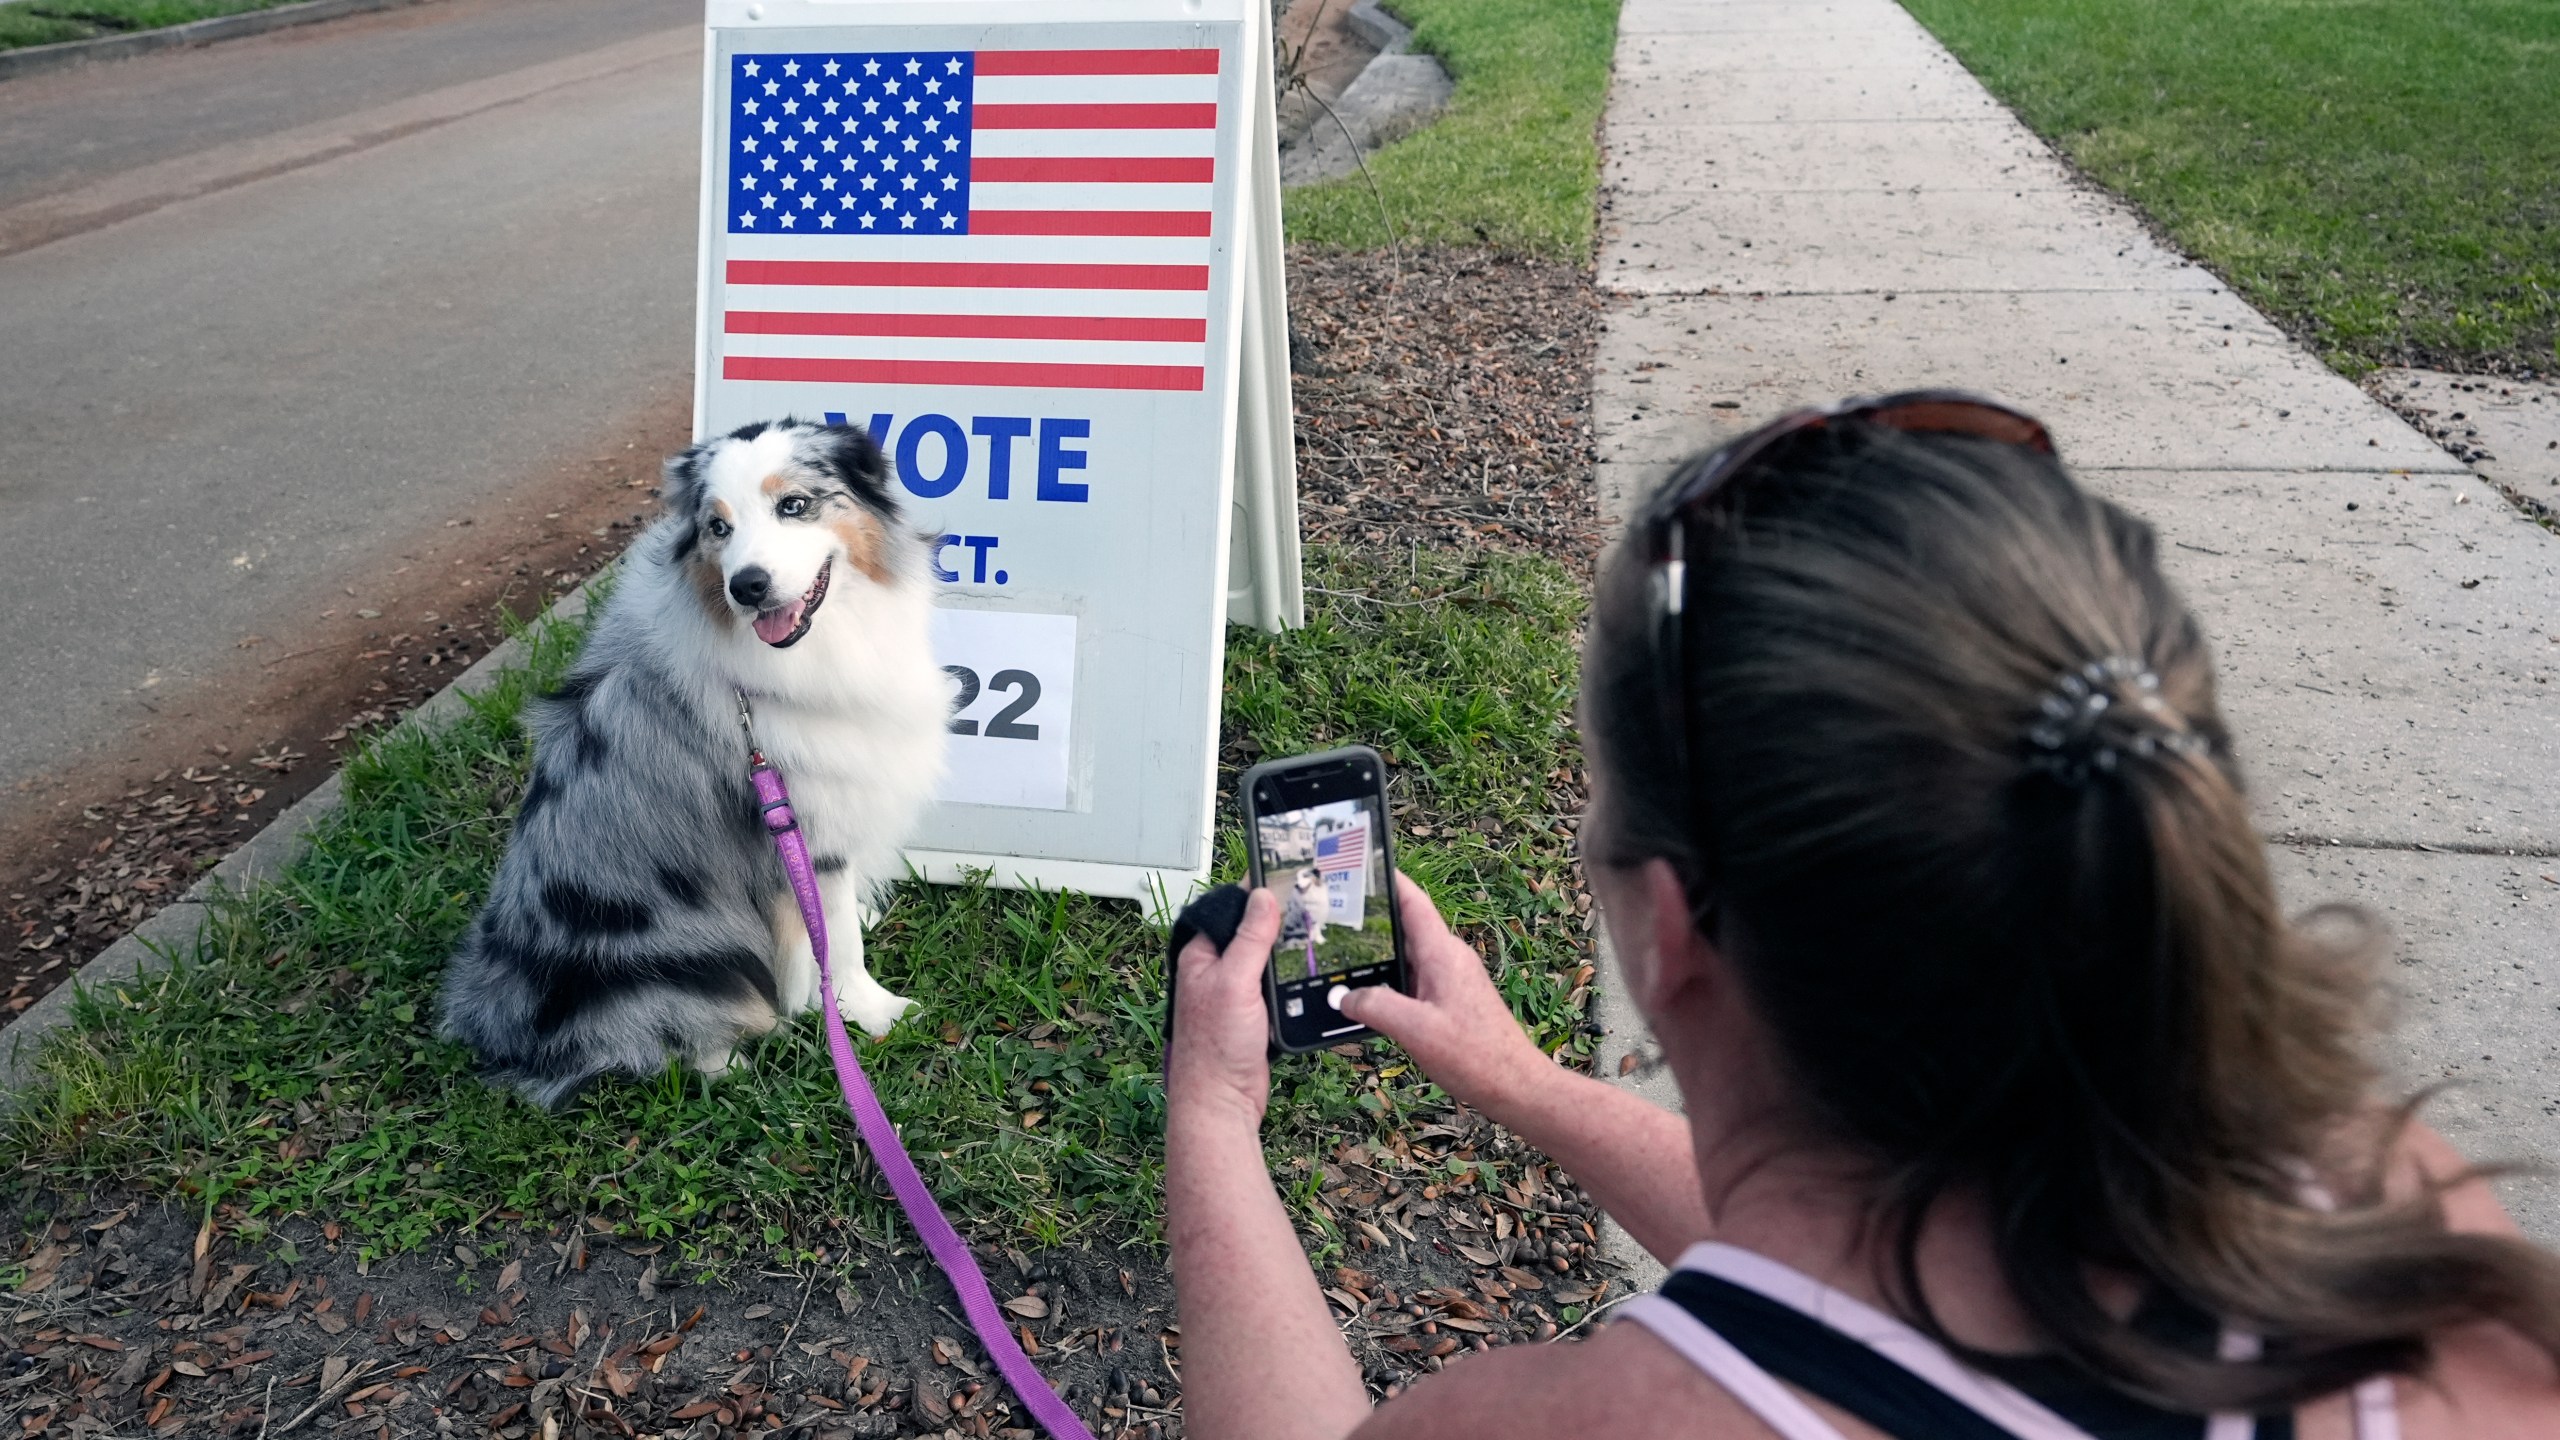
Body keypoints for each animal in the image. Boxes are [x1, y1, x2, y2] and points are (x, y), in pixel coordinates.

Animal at [440, 417, 952, 1112]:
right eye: (718, 528)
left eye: (794, 505)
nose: (748, 586)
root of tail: (497, 1026)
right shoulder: (804, 829)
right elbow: (838, 943)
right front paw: (871, 1011)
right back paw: (729, 1063)